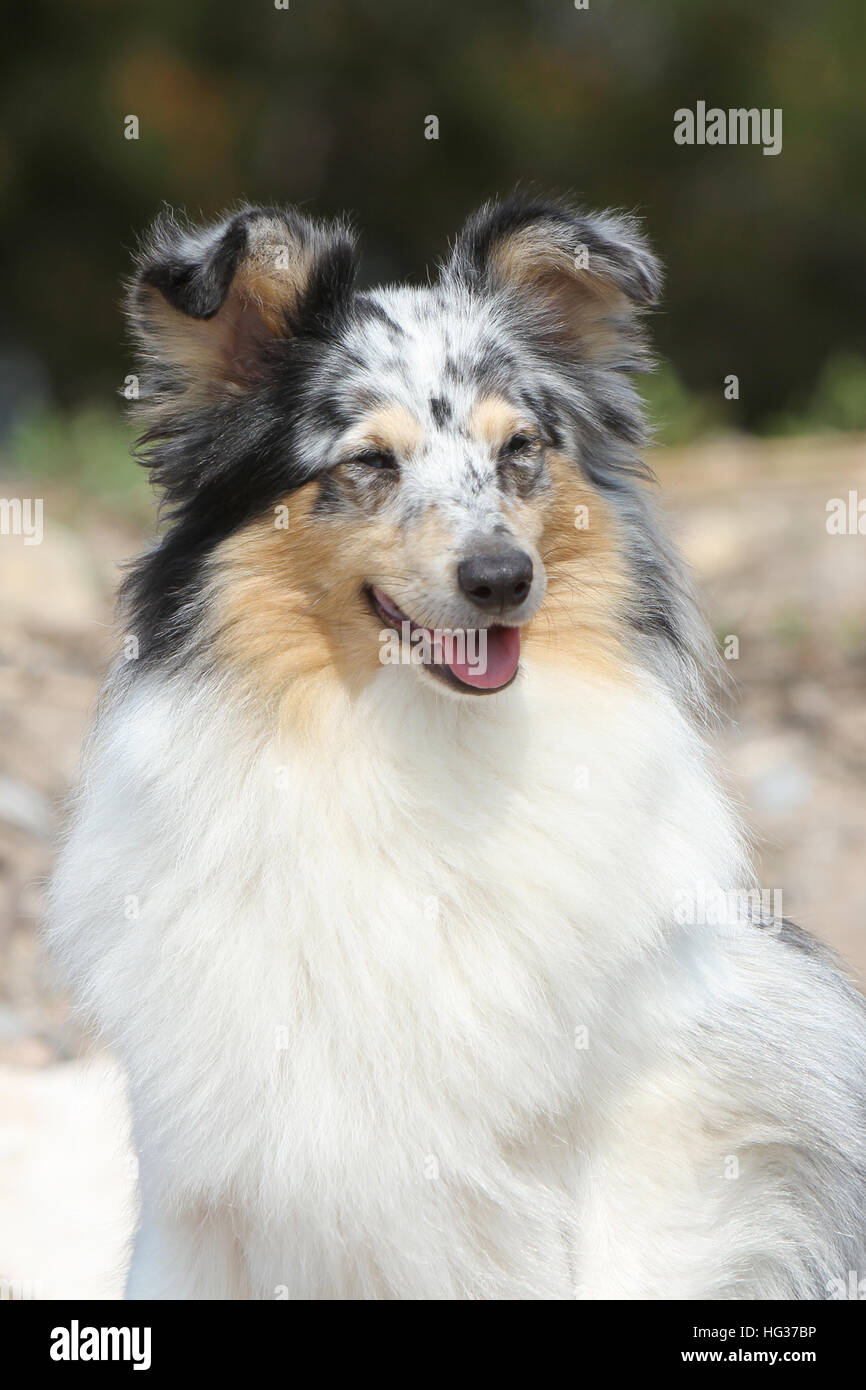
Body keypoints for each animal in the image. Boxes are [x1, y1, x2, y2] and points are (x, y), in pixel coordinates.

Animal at [47, 195, 866, 1301]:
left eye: (518, 448)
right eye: (367, 463)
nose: (500, 578)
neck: (418, 743)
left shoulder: (653, 1119)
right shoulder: (204, 1179)